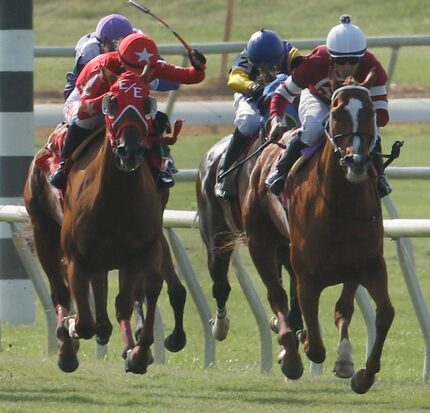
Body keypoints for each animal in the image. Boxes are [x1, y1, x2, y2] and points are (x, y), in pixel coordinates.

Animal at [24, 69, 186, 372]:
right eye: (112, 102)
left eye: (145, 102)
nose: (129, 151)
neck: (115, 199)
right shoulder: (76, 257)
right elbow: (82, 322)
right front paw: (72, 329)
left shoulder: (141, 249)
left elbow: (138, 295)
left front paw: (138, 352)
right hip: (43, 232)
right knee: (59, 293)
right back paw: (67, 347)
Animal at [244, 69, 394, 392]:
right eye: (336, 112)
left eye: (370, 112)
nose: (356, 160)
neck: (341, 205)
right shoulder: (307, 275)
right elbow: (314, 344)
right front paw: (295, 352)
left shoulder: (368, 265)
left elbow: (380, 313)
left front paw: (360, 372)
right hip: (259, 243)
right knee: (276, 296)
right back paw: (289, 353)